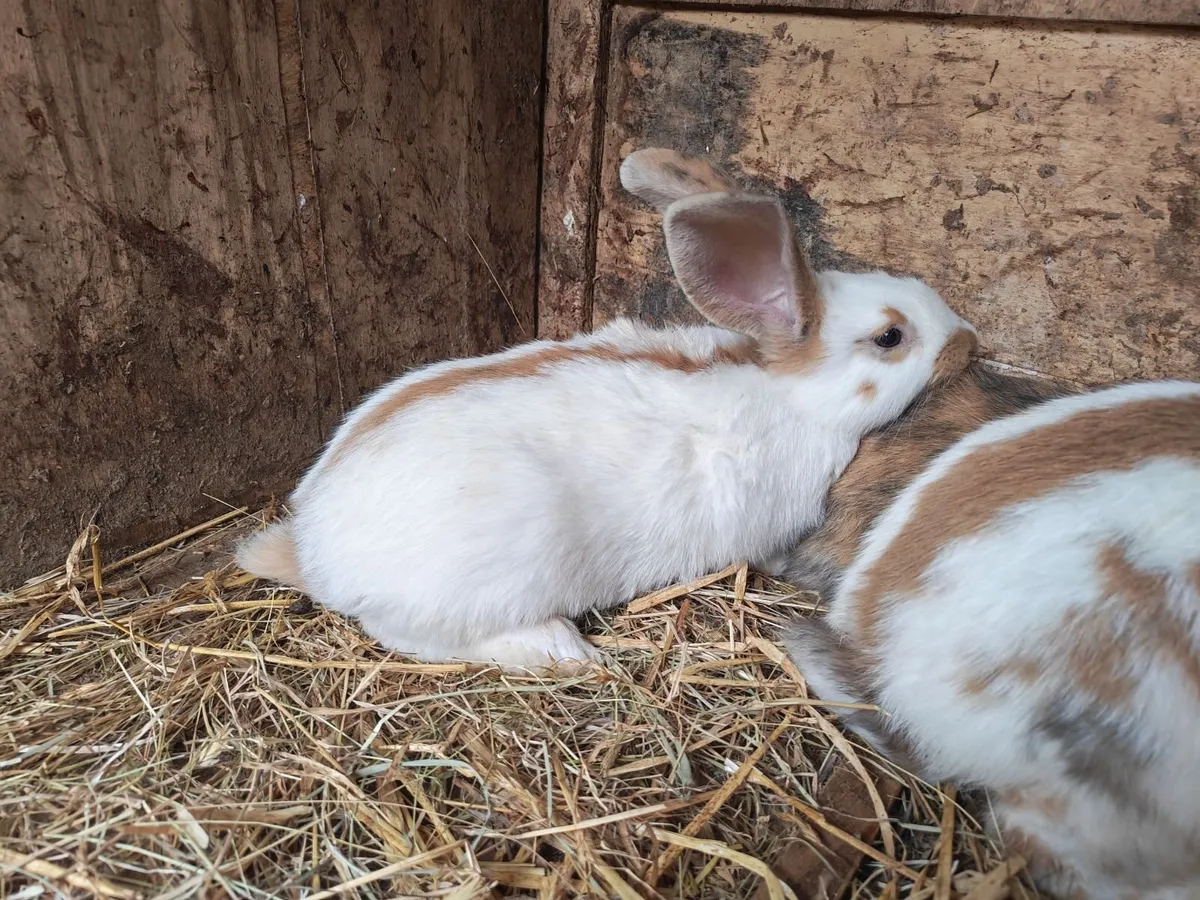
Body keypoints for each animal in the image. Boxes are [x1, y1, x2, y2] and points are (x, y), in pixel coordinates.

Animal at [235, 147, 976, 669]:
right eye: (890, 337)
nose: (969, 341)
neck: (790, 395)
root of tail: (314, 552)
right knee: (415, 635)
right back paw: (561, 650)